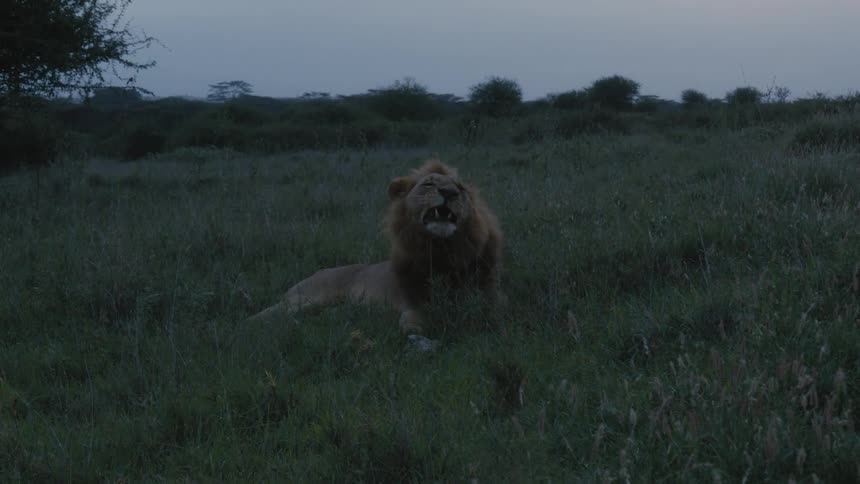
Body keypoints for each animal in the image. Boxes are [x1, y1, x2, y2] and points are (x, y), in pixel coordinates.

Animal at [245, 159, 503, 337]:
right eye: (429, 183)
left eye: (460, 188)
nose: (450, 193)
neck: (442, 249)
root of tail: (319, 271)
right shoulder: (413, 297)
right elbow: (413, 318)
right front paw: (416, 328)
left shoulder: (487, 291)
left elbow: (491, 311)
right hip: (306, 299)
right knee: (266, 314)